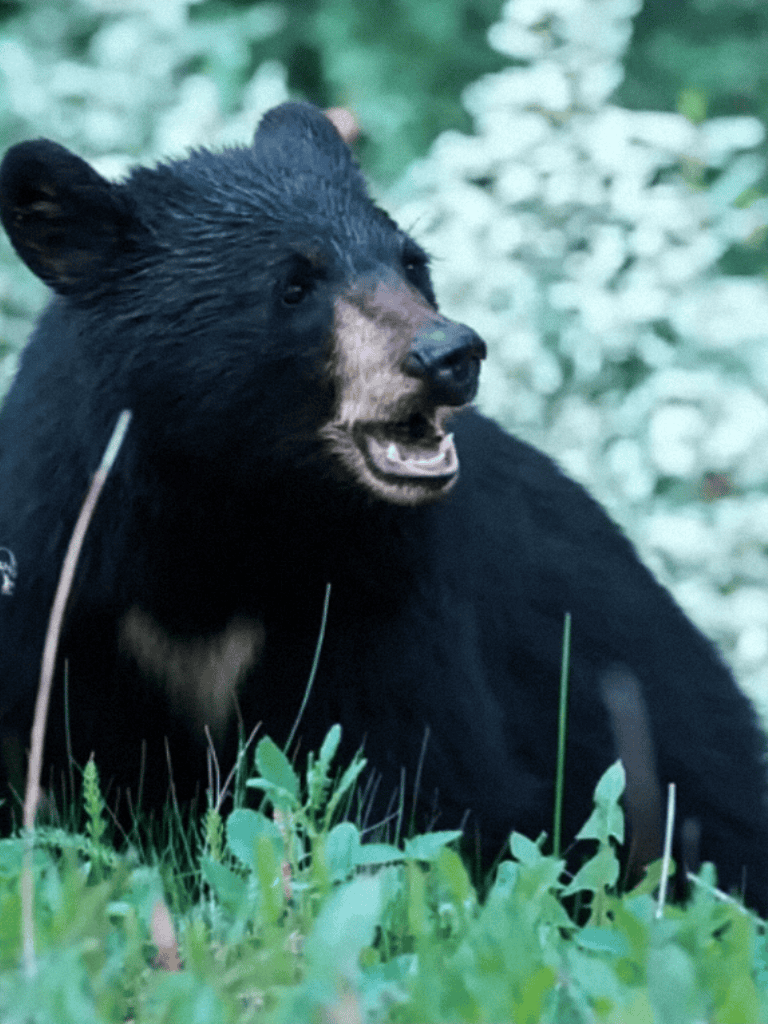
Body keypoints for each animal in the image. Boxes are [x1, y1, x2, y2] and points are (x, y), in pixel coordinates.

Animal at [0, 101, 767, 909]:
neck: (233, 511)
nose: (449, 355)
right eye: (292, 286)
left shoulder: (382, 590)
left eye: (412, 263)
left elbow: (413, 773)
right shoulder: (64, 577)